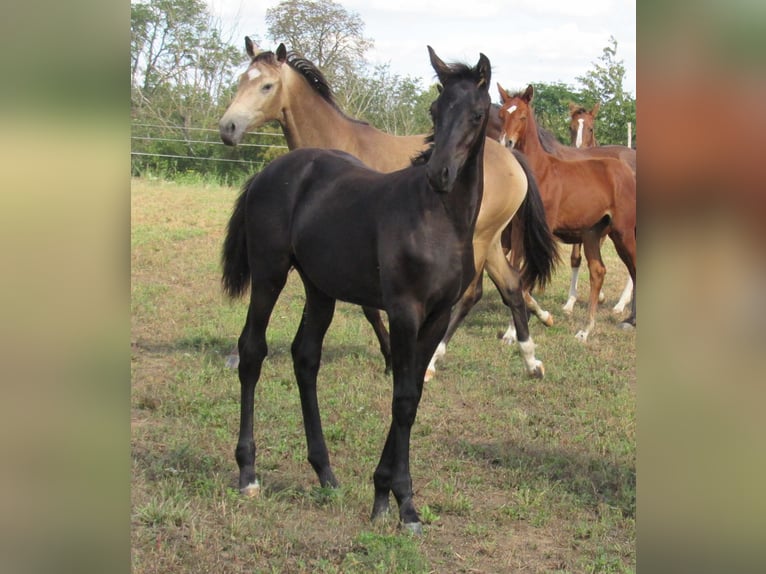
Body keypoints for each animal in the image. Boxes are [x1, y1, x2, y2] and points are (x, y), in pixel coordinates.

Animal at [219, 39, 558, 381]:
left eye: (266, 85)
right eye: (241, 79)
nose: (227, 128)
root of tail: (512, 157)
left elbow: (370, 309)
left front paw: (389, 357)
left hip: (480, 240)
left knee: (473, 294)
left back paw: (435, 360)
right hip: (490, 241)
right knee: (511, 286)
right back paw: (532, 356)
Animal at [222, 47, 491, 534]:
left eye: (477, 114)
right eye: (435, 110)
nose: (440, 174)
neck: (439, 218)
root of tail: (270, 172)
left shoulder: (436, 315)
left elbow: (413, 394)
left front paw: (385, 492)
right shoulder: (404, 312)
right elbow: (401, 399)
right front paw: (402, 502)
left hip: (319, 289)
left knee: (305, 358)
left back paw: (325, 472)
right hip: (270, 275)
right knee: (252, 351)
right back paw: (248, 472)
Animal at [497, 84, 636, 341]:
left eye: (522, 115)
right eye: (502, 114)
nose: (507, 143)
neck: (540, 172)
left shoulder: (543, 232)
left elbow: (526, 278)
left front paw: (541, 318)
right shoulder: (520, 228)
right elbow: (516, 275)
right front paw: (514, 331)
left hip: (623, 232)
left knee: (633, 268)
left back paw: (628, 318)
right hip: (592, 233)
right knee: (598, 271)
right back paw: (585, 330)